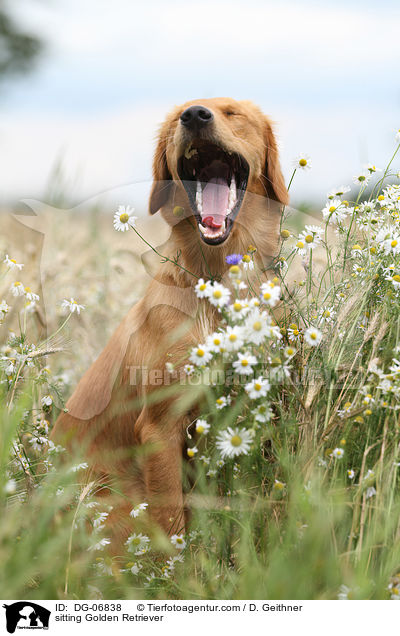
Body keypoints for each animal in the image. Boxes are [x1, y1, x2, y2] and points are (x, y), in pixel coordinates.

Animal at [50, 97, 288, 548]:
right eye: (182, 114)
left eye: (232, 113)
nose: (194, 116)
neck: (215, 284)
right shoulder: (159, 428)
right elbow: (171, 524)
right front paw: (180, 566)